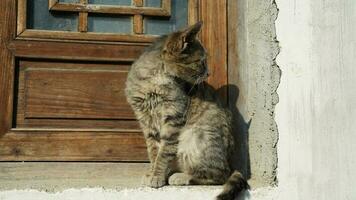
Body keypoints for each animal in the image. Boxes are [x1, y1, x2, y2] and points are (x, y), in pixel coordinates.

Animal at [124, 21, 248, 200]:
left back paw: (181, 176)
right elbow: (154, 151)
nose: (209, 72)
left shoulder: (174, 118)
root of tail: (230, 163)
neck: (154, 82)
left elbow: (164, 153)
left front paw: (157, 175)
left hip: (195, 137)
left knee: (219, 176)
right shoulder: (146, 121)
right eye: (201, 61)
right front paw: (152, 172)